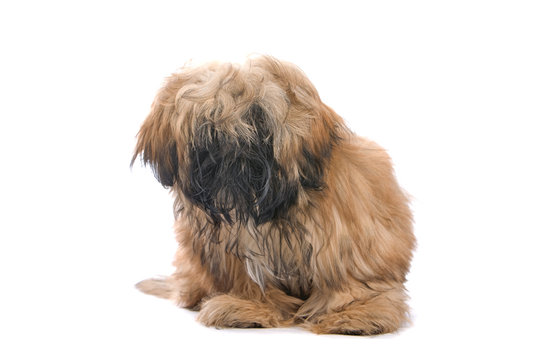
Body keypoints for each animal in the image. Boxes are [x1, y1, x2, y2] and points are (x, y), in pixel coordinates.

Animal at [132, 55, 418, 334]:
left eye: (257, 115)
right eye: (209, 119)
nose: (235, 141)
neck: (261, 205)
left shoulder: (348, 237)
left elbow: (349, 278)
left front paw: (354, 313)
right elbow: (249, 281)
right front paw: (248, 306)